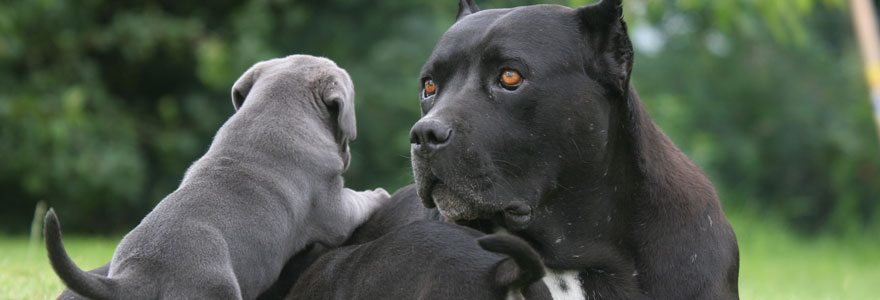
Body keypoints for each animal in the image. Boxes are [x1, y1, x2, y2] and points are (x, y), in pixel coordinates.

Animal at [43, 54, 388, 300]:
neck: (278, 109)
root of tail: (136, 275)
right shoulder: (333, 208)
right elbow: (356, 202)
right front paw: (379, 194)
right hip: (214, 288)